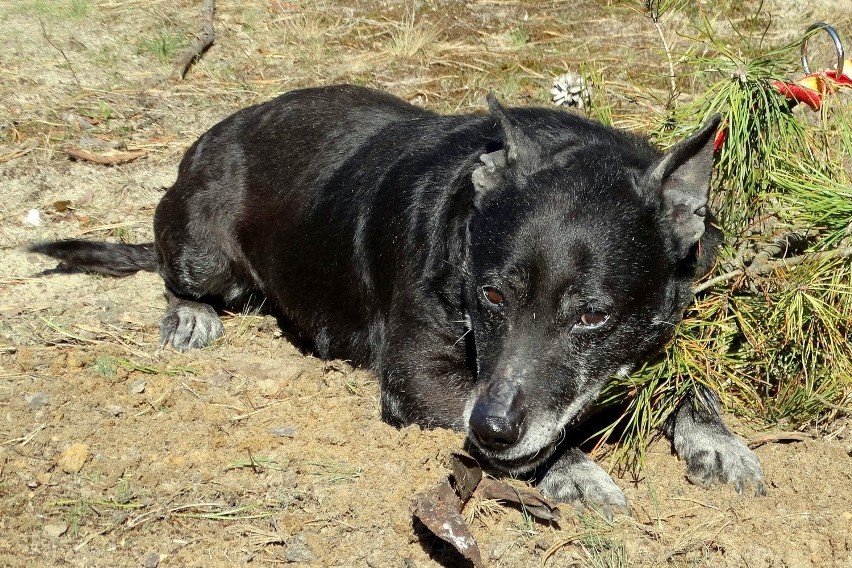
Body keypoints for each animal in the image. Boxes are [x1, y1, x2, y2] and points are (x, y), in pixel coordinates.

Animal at [31, 85, 764, 516]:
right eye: (490, 294)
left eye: (592, 314)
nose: (492, 430)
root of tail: (204, 141)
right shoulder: (421, 380)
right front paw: (575, 472)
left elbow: (687, 383)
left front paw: (719, 440)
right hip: (200, 250)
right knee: (173, 271)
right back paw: (190, 313)